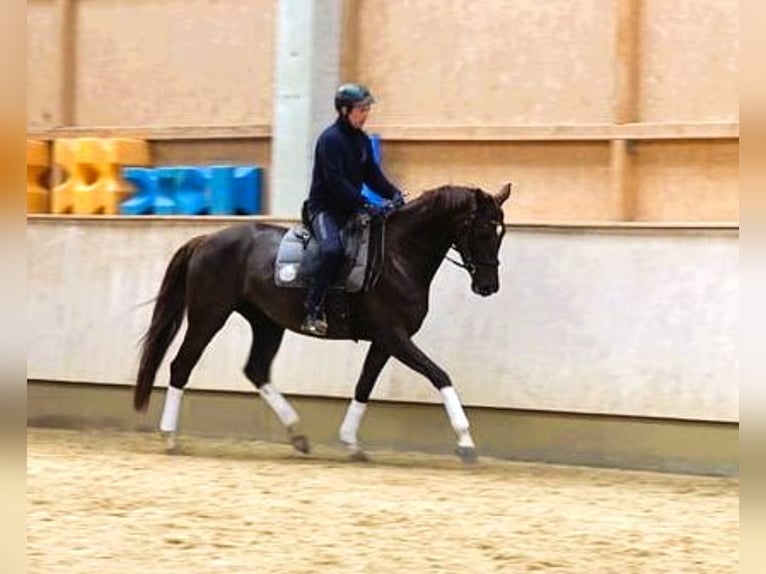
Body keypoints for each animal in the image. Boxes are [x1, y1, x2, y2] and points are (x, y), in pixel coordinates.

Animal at [135, 183, 512, 464]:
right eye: (482, 230)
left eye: (501, 232)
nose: (489, 286)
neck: (399, 255)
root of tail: (206, 240)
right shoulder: (395, 336)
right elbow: (440, 375)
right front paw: (466, 442)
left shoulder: (384, 341)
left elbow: (364, 385)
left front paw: (351, 443)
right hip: (209, 316)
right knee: (181, 366)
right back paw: (170, 438)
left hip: (267, 323)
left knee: (256, 369)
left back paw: (299, 436)